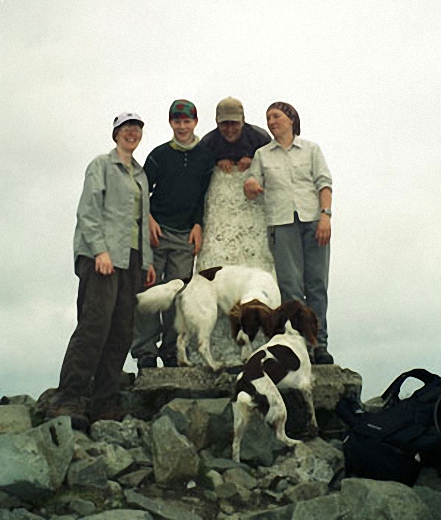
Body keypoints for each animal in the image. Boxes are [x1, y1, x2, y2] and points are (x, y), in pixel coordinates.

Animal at [230, 300, 316, 464]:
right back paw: (295, 442)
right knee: (280, 434)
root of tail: (245, 384)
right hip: (279, 406)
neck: (287, 332)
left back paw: (236, 463)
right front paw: (313, 428)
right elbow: (311, 411)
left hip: (239, 418)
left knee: (235, 443)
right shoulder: (304, 384)